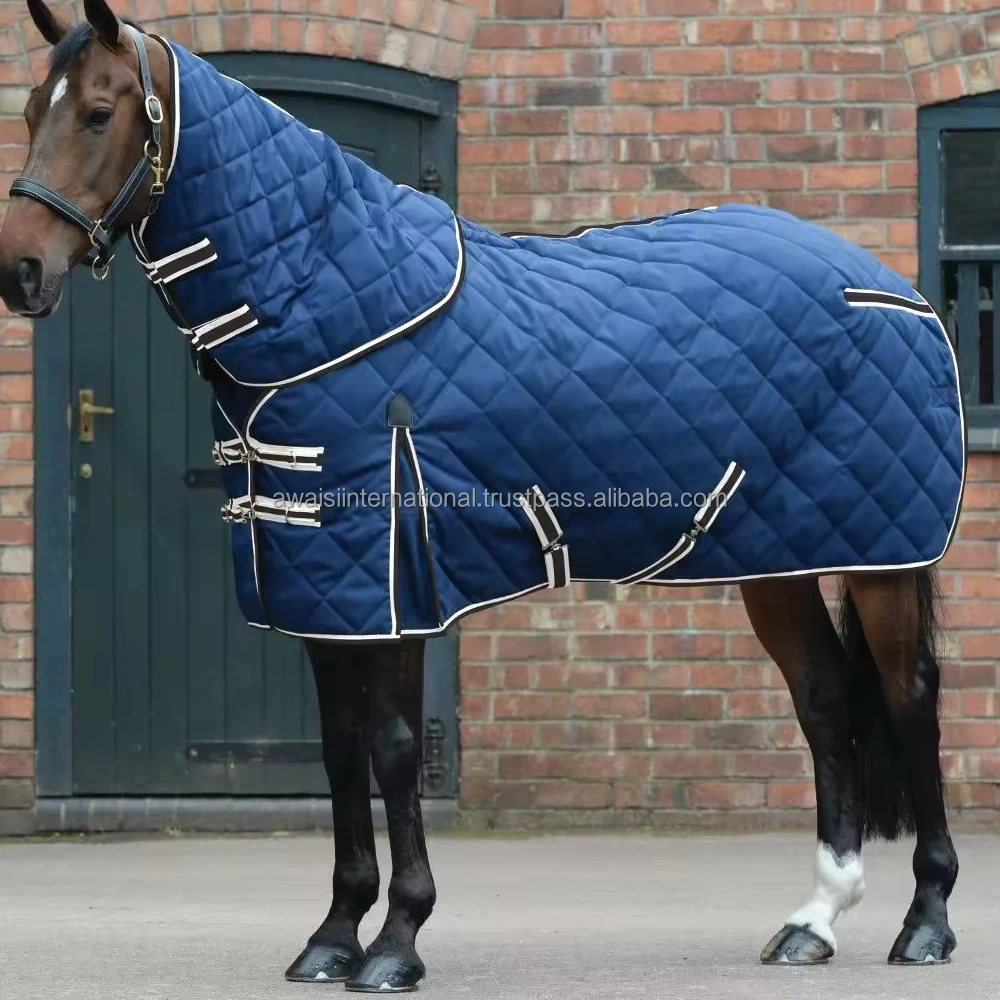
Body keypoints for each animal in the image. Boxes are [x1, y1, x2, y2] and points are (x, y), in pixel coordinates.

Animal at [0, 0, 965, 990]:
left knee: (908, 697)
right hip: (781, 558)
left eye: (100, 114)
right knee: (825, 699)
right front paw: (332, 937)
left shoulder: (398, 590)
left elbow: (391, 750)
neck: (338, 312)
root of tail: (892, 288)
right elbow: (340, 752)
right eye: (32, 110)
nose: (20, 271)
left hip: (884, 558)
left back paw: (925, 921)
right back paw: (814, 919)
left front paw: (396, 941)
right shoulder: (322, 592)